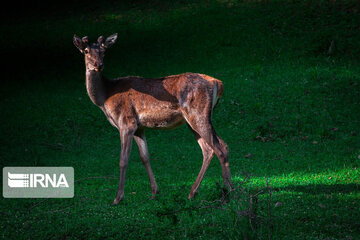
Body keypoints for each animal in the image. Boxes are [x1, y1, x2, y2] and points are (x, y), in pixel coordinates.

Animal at [73, 33, 232, 204]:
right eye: (86, 51)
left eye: (104, 51)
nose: (99, 64)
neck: (105, 97)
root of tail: (218, 83)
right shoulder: (139, 127)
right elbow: (145, 157)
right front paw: (154, 192)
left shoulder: (126, 122)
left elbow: (123, 160)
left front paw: (118, 198)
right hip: (195, 119)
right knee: (211, 149)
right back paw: (193, 192)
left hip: (198, 114)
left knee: (219, 147)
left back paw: (227, 193)